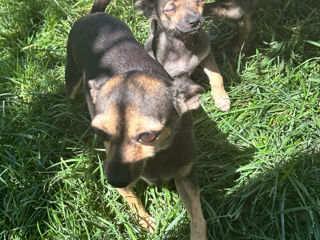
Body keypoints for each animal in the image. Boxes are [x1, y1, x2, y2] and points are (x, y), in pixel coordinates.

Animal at [65, 0, 208, 239]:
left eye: (149, 136)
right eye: (100, 132)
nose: (113, 180)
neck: (158, 158)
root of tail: (94, 15)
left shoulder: (186, 175)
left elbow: (198, 217)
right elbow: (132, 199)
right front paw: (145, 221)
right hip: (72, 80)